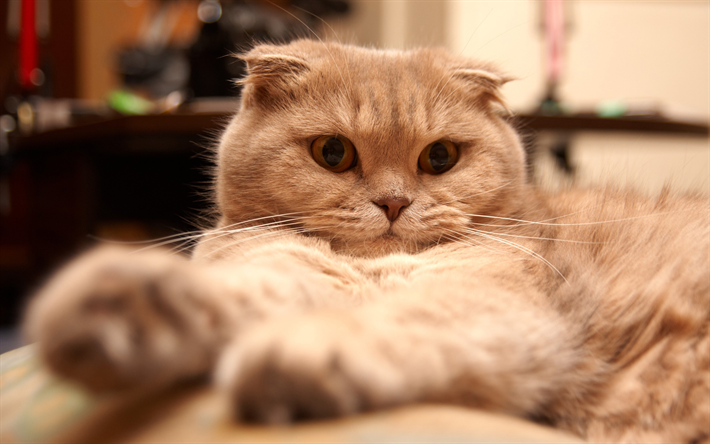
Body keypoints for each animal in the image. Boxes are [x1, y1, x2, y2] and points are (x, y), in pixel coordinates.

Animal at [23, 40, 710, 442]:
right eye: (333, 152)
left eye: (440, 157)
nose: (394, 203)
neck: (369, 274)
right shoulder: (280, 269)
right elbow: (230, 293)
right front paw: (114, 307)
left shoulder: (499, 306)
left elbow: (395, 323)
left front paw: (300, 355)